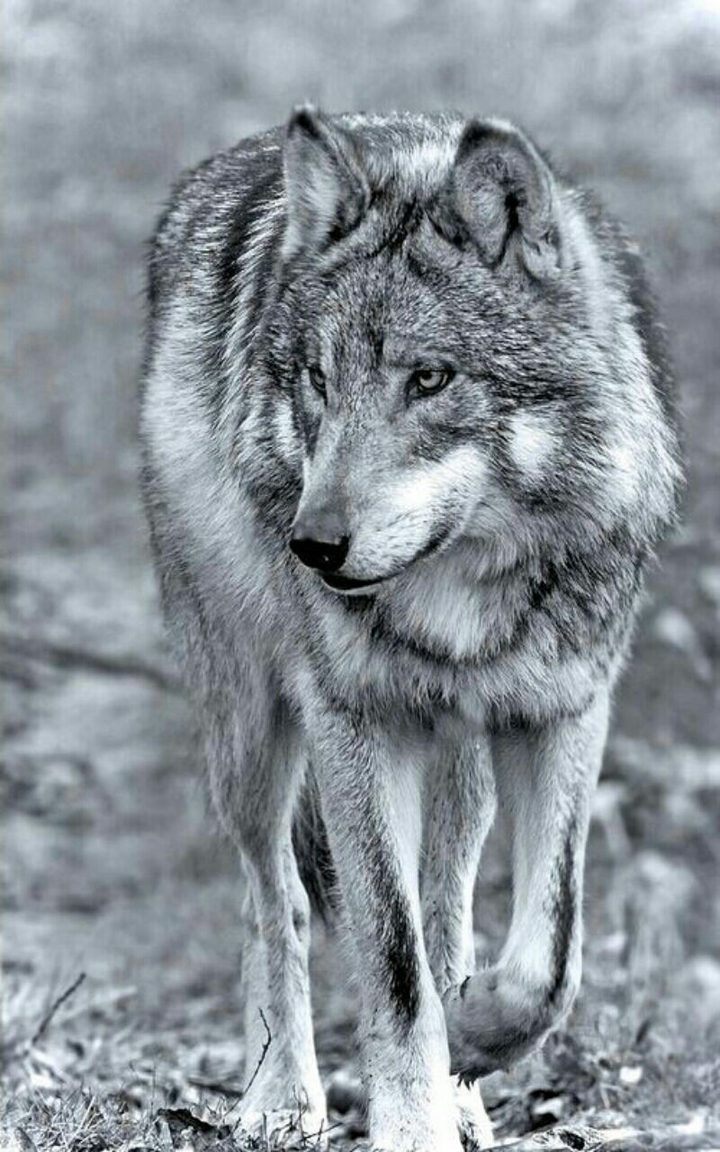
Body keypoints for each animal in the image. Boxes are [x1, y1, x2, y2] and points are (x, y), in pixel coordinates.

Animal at [139, 107, 681, 1151]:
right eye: (317, 379)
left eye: (429, 379)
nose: (312, 545)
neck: (462, 590)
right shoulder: (354, 722)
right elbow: (391, 963)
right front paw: (412, 1118)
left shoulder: (565, 711)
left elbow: (549, 953)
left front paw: (470, 1045)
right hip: (251, 729)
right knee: (279, 896)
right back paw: (281, 1094)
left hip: (462, 764)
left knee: (448, 908)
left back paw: (461, 1081)